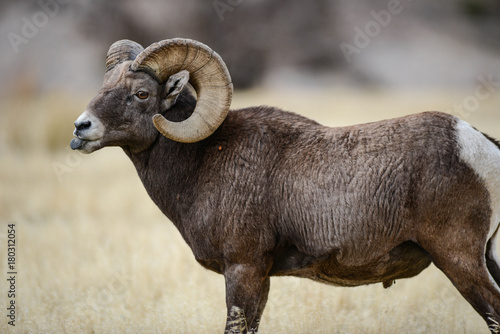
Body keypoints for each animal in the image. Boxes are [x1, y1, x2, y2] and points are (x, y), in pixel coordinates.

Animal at [70, 38, 500, 332]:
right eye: (103, 85)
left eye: (141, 94)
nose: (80, 128)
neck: (203, 161)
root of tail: (478, 143)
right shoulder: (260, 277)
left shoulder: (243, 269)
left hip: (459, 258)